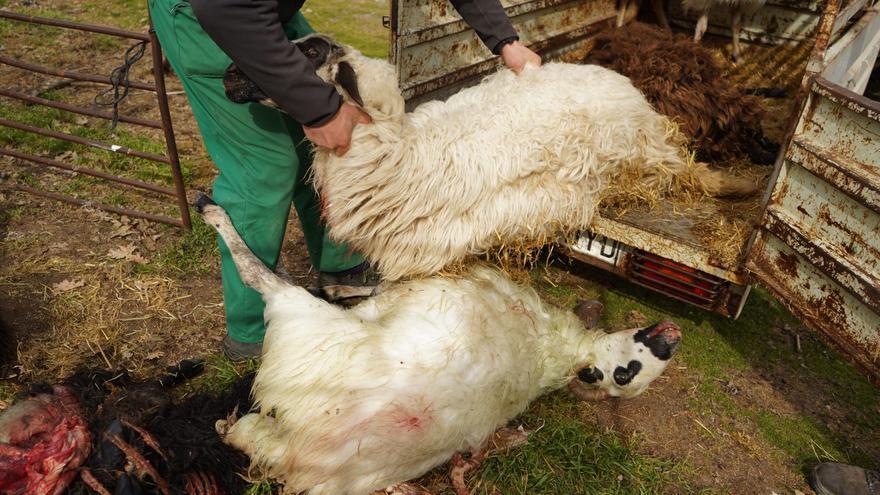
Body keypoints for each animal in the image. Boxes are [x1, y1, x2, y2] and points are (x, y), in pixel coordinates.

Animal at [199, 198, 680, 495]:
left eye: (624, 374)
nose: (670, 341)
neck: (554, 347)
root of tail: (305, 451)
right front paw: (340, 286)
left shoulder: (412, 292)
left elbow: (377, 292)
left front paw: (337, 288)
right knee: (241, 433)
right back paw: (226, 425)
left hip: (301, 323)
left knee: (259, 276)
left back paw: (214, 213)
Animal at [225, 35, 756, 282]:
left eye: (311, 51)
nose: (228, 73)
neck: (401, 156)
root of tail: (614, 75)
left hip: (647, 151)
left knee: (684, 170)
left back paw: (736, 184)